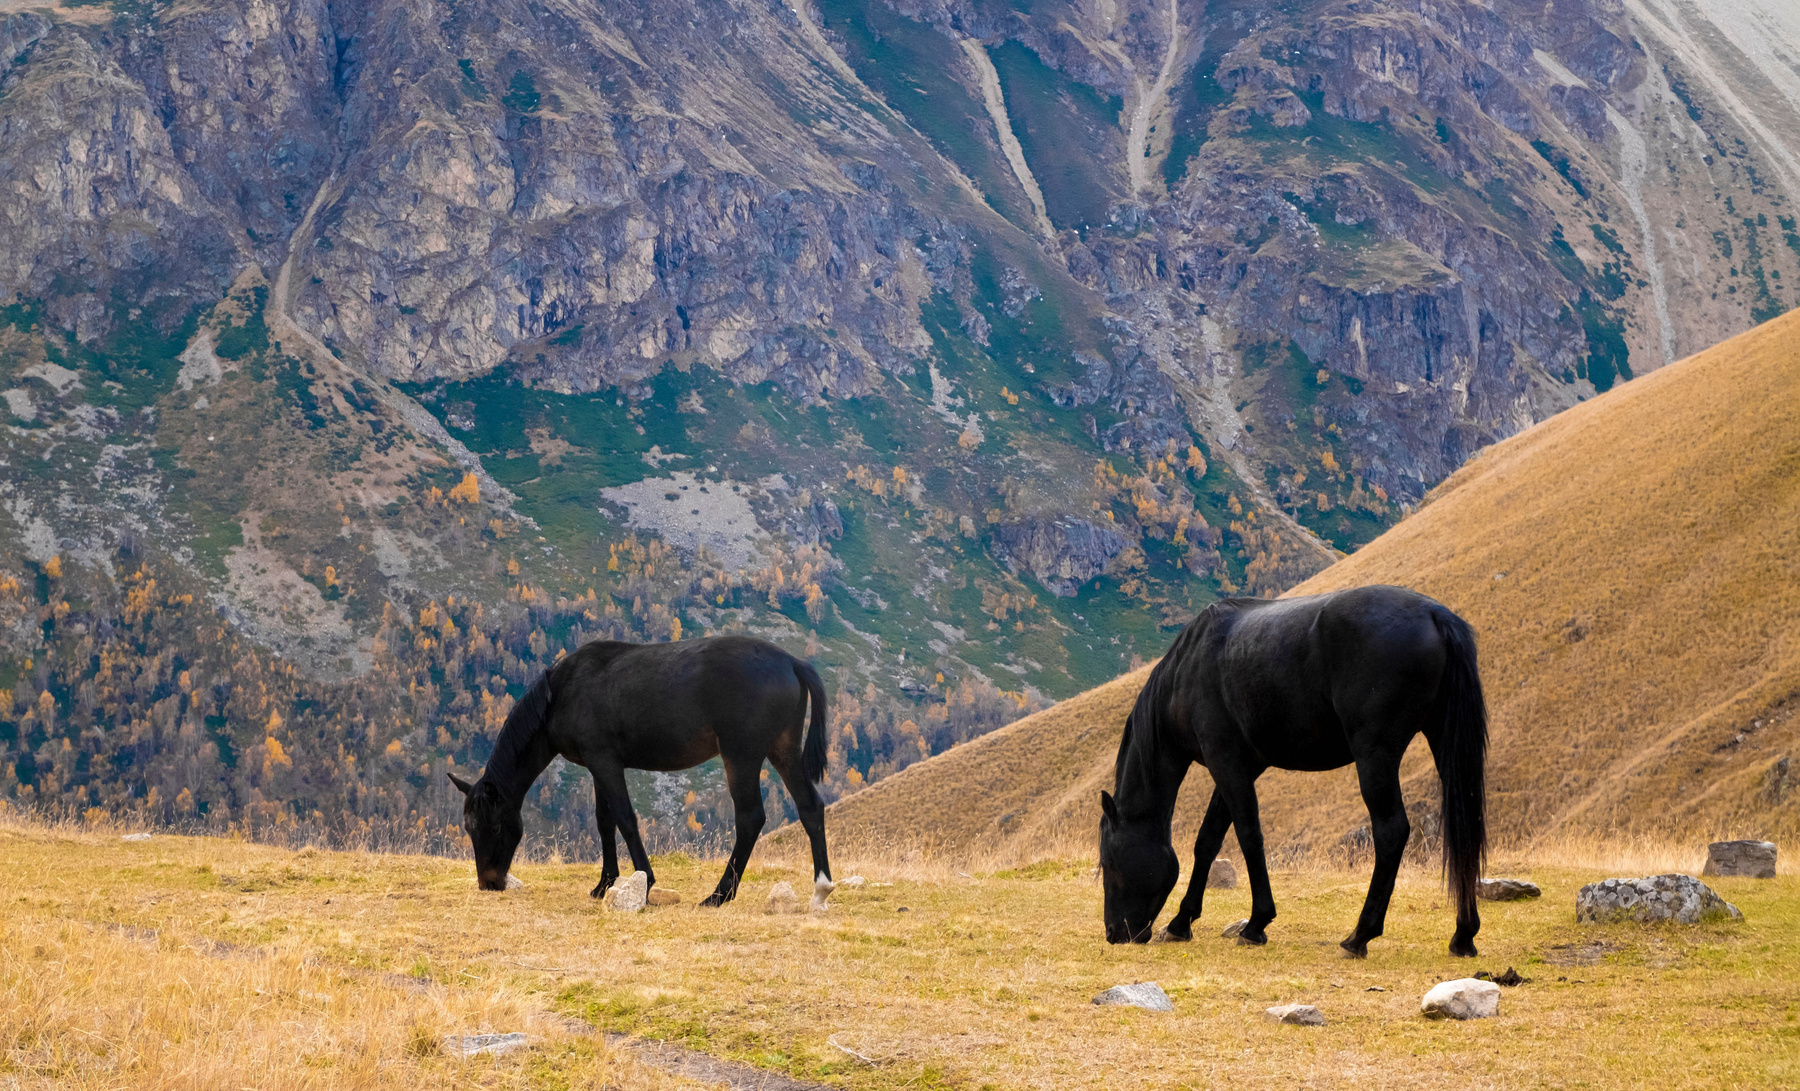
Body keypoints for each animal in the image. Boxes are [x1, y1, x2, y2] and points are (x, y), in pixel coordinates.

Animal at [448, 634, 835, 909]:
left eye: (494, 826)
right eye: (469, 828)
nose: (490, 883)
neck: (560, 693)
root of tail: (791, 662)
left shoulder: (605, 762)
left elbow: (625, 819)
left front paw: (644, 880)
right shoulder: (597, 766)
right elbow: (604, 822)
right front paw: (604, 883)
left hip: (741, 757)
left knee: (750, 818)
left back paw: (720, 894)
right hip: (783, 751)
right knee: (810, 807)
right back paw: (821, 888)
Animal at [1097, 584, 1488, 958]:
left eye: (1109, 860)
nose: (1114, 933)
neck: (1188, 670)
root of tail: (1434, 613)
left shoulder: (1226, 763)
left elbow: (1248, 836)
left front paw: (1256, 923)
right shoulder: (1240, 766)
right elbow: (1208, 840)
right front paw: (1182, 922)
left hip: (1375, 756)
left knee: (1391, 832)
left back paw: (1360, 936)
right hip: (1442, 744)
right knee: (1464, 825)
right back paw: (1463, 935)